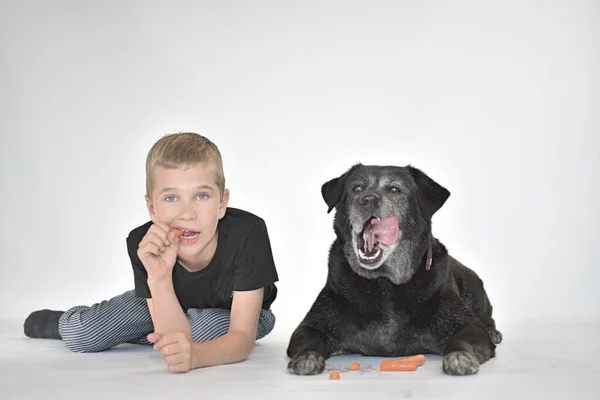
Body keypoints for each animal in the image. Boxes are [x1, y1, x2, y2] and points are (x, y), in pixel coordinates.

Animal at [286, 162, 502, 376]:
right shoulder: (311, 325)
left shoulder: (468, 326)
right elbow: (308, 340)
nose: (368, 199)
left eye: (394, 189)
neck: (385, 282)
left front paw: (459, 357)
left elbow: (462, 339)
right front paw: (307, 357)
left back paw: (494, 332)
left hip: (474, 288)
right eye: (356, 188)